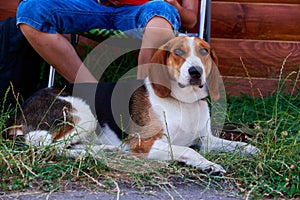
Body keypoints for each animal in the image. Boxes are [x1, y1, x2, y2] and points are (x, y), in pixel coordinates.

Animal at [4, 36, 258, 176]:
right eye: (177, 52)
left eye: (204, 51)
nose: (195, 72)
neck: (183, 102)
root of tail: (18, 113)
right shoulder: (145, 144)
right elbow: (187, 150)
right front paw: (208, 164)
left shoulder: (205, 139)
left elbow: (234, 145)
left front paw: (251, 149)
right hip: (82, 114)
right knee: (47, 149)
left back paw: (103, 151)